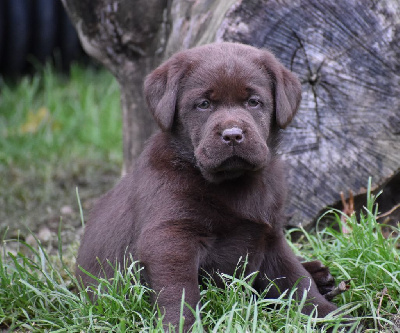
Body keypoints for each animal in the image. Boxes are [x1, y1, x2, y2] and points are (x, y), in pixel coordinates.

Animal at [77, 42, 338, 330]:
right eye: (203, 104)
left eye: (253, 102)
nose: (233, 135)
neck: (231, 182)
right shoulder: (169, 237)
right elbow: (180, 292)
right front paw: (182, 326)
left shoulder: (269, 235)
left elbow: (296, 281)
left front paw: (334, 316)